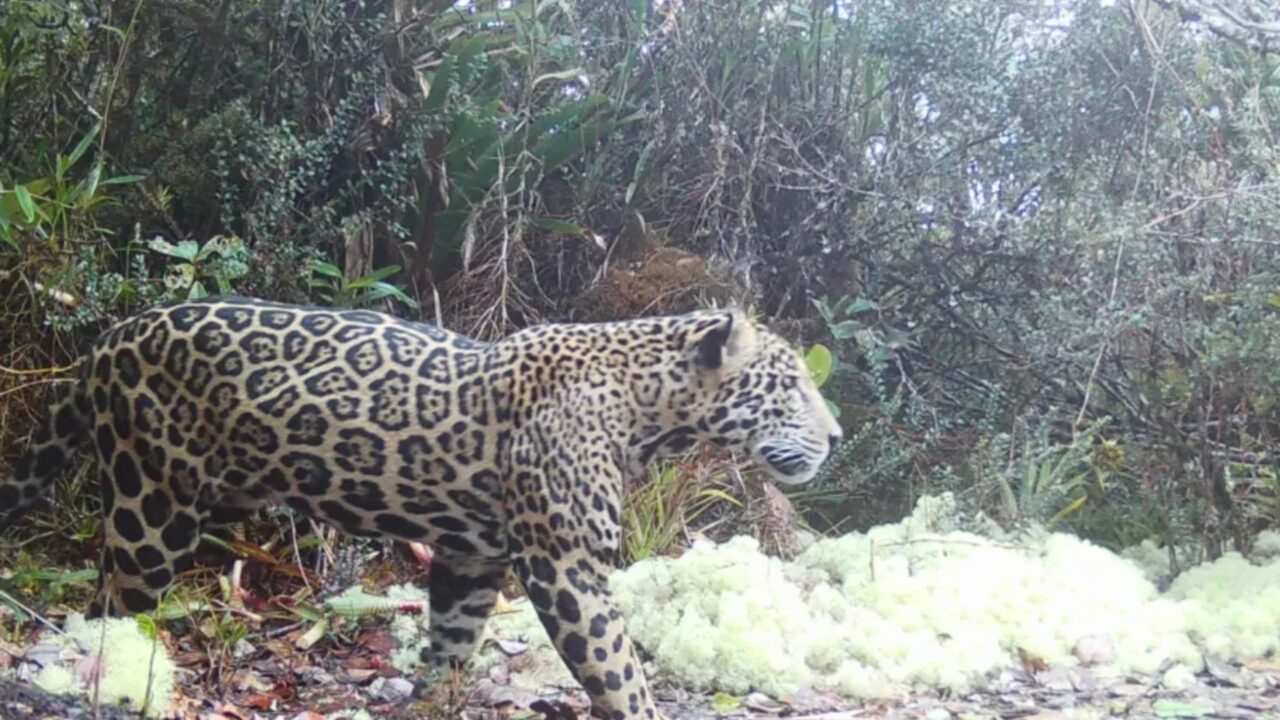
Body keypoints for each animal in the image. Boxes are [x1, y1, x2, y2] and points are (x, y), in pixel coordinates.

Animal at [0, 297, 842, 719]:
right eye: (791, 384)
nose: (835, 436)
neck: (647, 411)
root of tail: (107, 339)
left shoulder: (473, 557)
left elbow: (453, 644)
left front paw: (434, 701)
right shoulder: (565, 565)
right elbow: (619, 673)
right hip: (153, 506)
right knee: (112, 607)